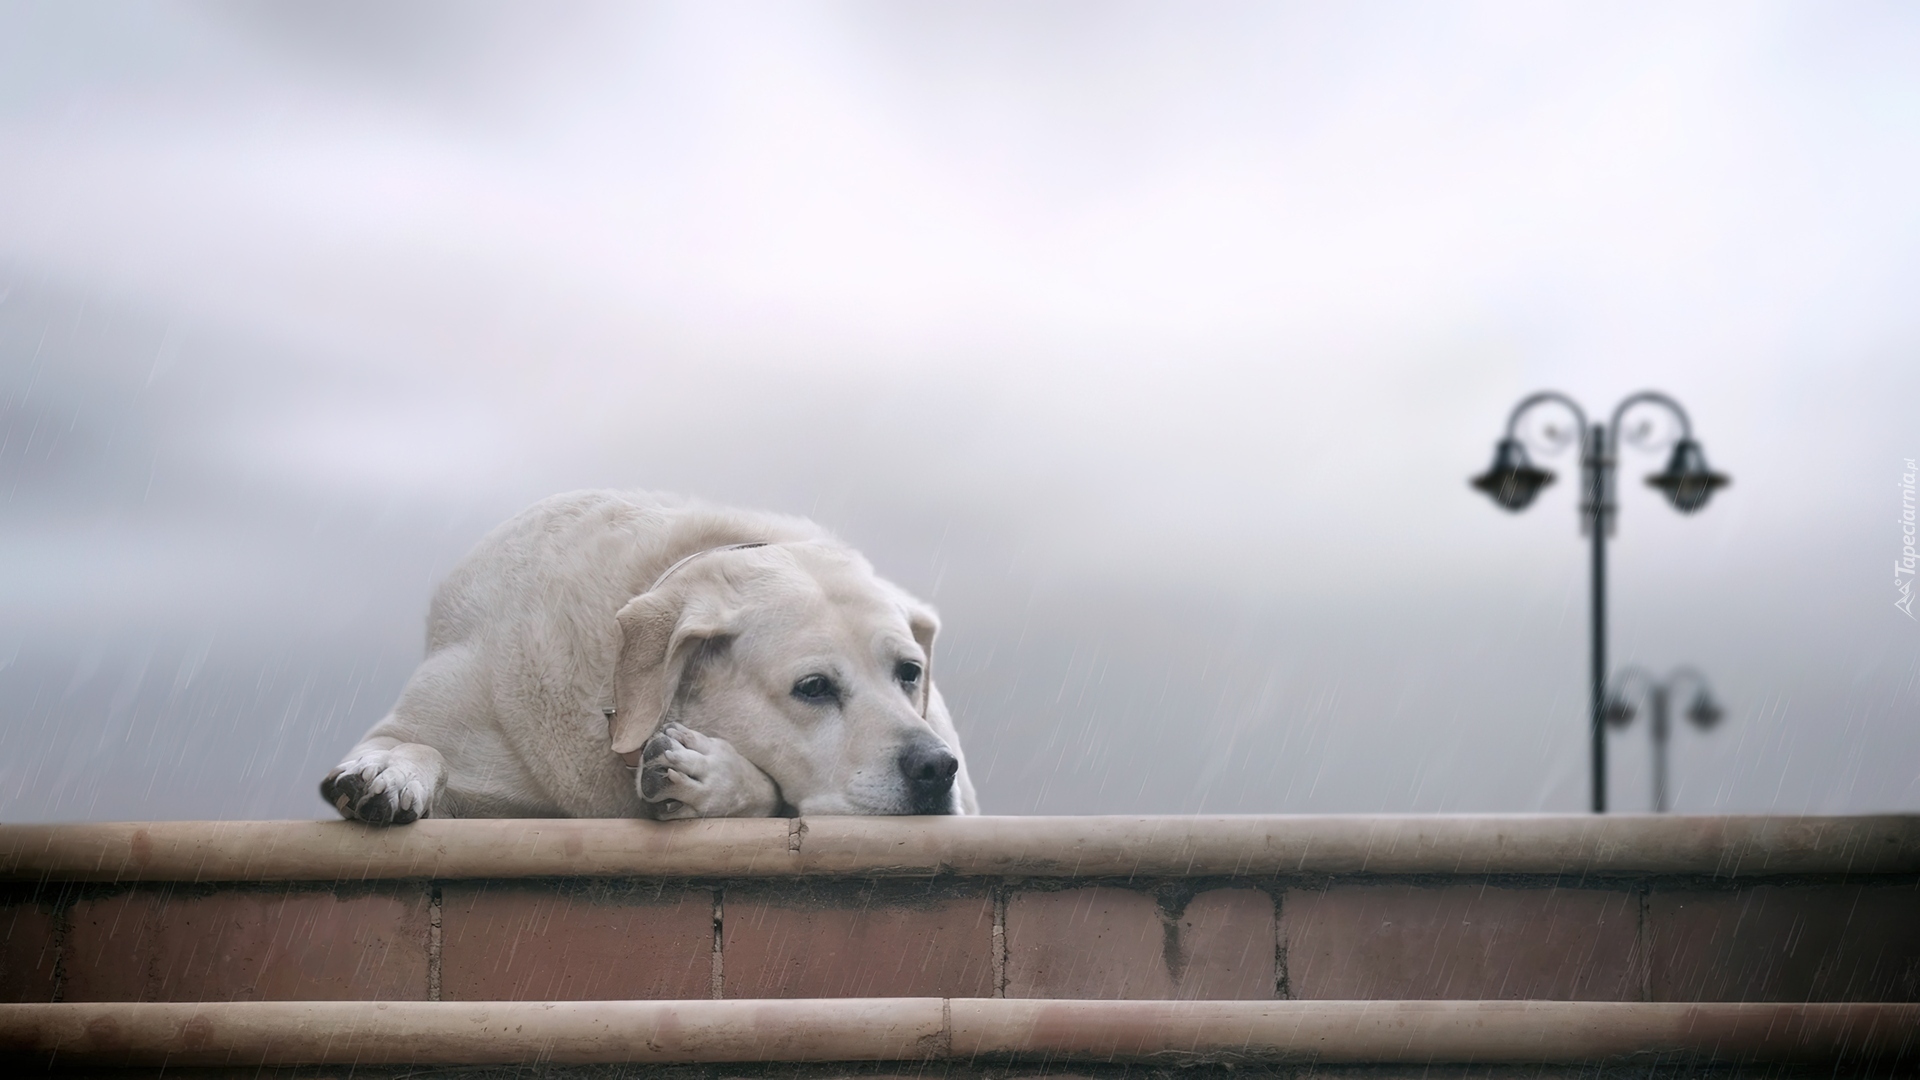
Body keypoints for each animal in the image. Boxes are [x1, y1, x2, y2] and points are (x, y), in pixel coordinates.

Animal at [322, 491, 975, 818]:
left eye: (909, 673)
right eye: (813, 687)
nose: (935, 768)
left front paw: (707, 775)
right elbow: (414, 743)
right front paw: (390, 771)